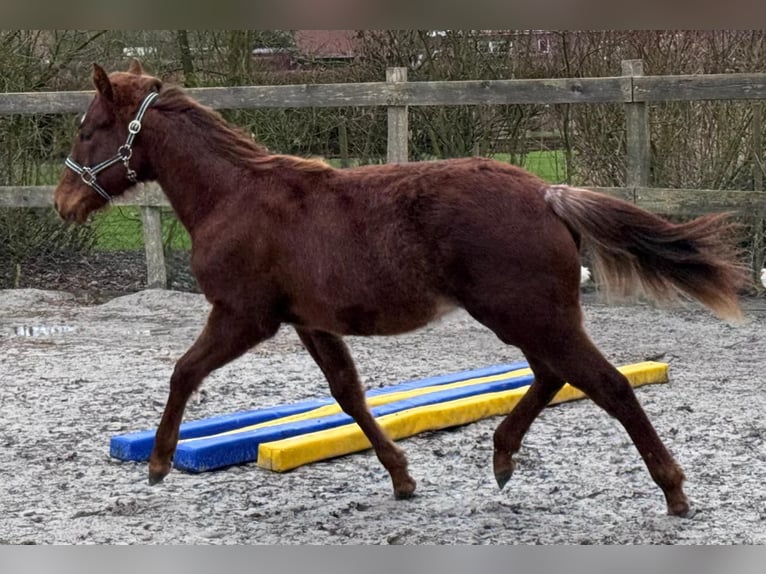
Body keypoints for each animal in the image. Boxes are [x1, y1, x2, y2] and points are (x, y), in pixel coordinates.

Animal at [54, 61, 749, 517]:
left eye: (88, 128)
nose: (63, 203)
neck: (235, 196)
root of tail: (547, 192)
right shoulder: (311, 321)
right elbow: (349, 395)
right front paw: (403, 479)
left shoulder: (243, 316)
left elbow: (183, 371)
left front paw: (157, 463)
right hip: (528, 317)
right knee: (555, 375)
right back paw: (501, 459)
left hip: (528, 314)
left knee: (607, 384)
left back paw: (673, 491)